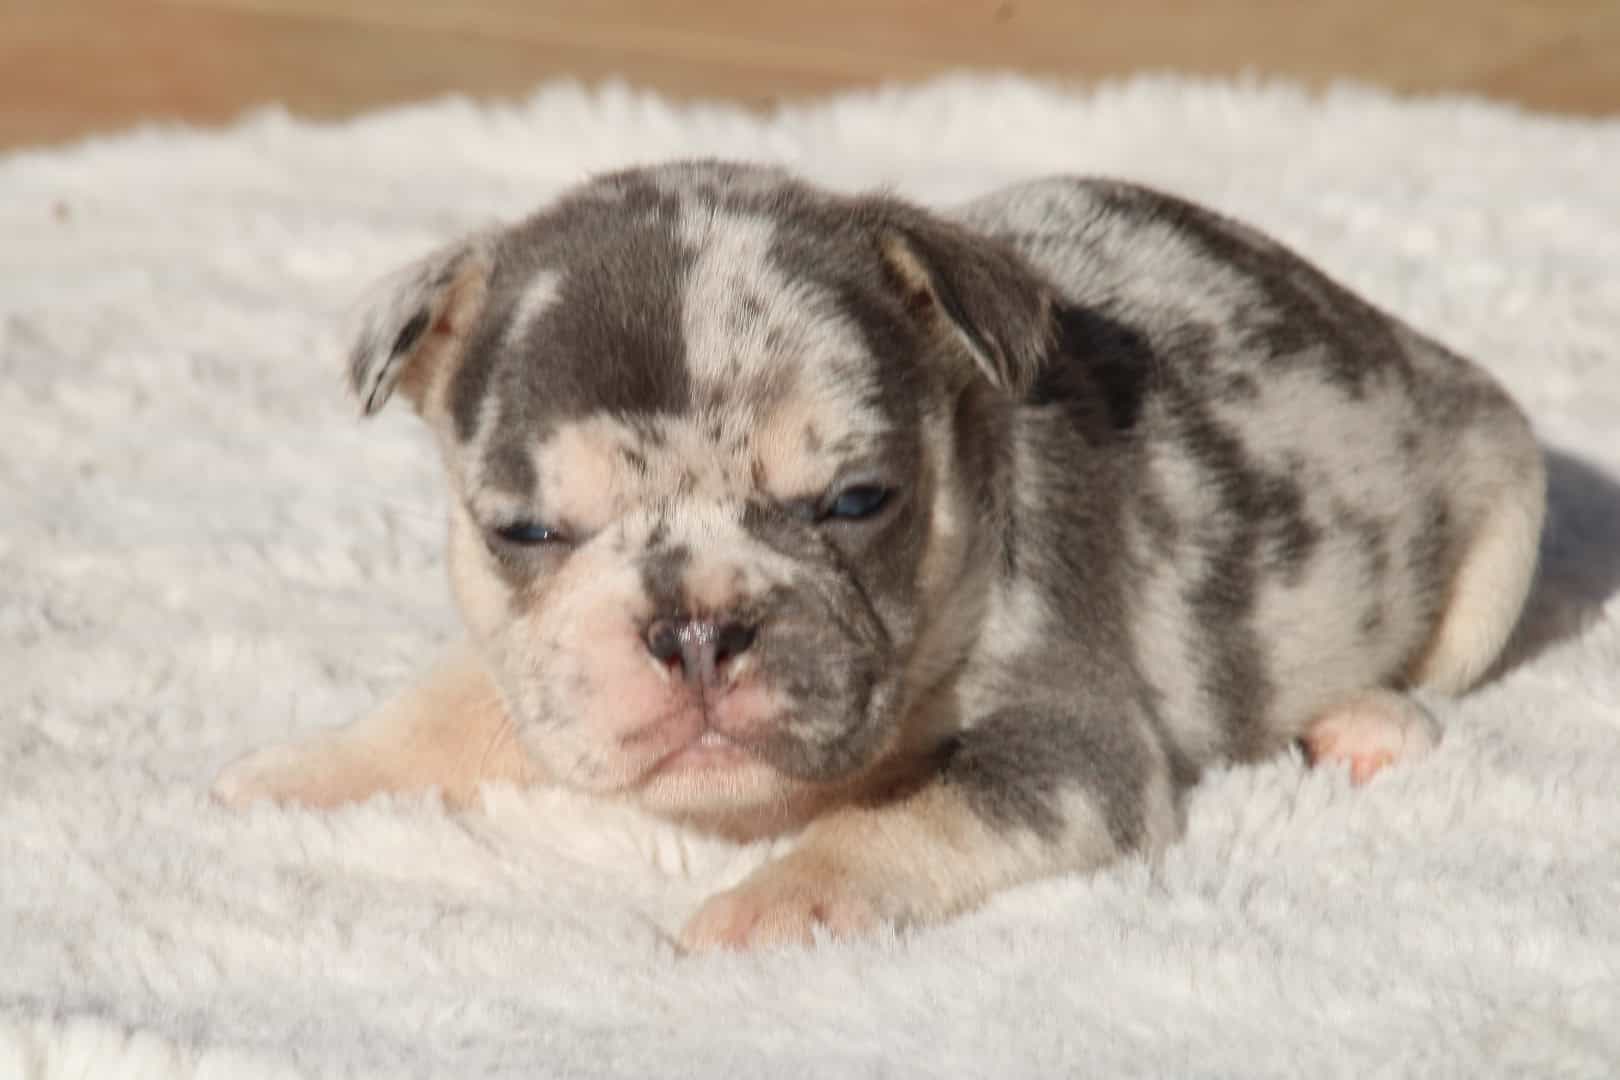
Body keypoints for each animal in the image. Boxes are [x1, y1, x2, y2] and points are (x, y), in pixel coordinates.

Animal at [215, 162, 1542, 952]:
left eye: (858, 500)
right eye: (524, 531)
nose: (697, 626)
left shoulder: (1064, 752)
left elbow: (897, 820)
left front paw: (770, 906)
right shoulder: (526, 666)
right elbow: (441, 707)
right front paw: (296, 776)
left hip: (1505, 511)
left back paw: (1372, 720)